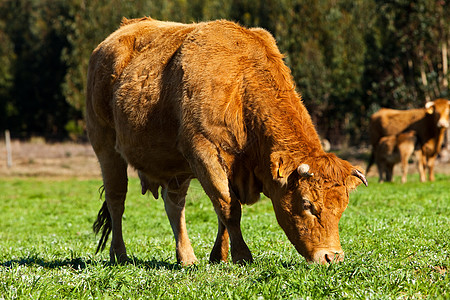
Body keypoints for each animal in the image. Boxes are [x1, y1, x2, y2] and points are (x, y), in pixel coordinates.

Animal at [86, 17, 368, 264]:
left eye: (342, 208)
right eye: (308, 204)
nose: (332, 257)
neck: (240, 83)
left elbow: (222, 209)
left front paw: (218, 256)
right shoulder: (204, 154)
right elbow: (228, 208)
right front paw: (242, 255)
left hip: (176, 168)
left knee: (174, 205)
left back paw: (186, 258)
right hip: (106, 148)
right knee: (116, 200)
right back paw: (119, 254)